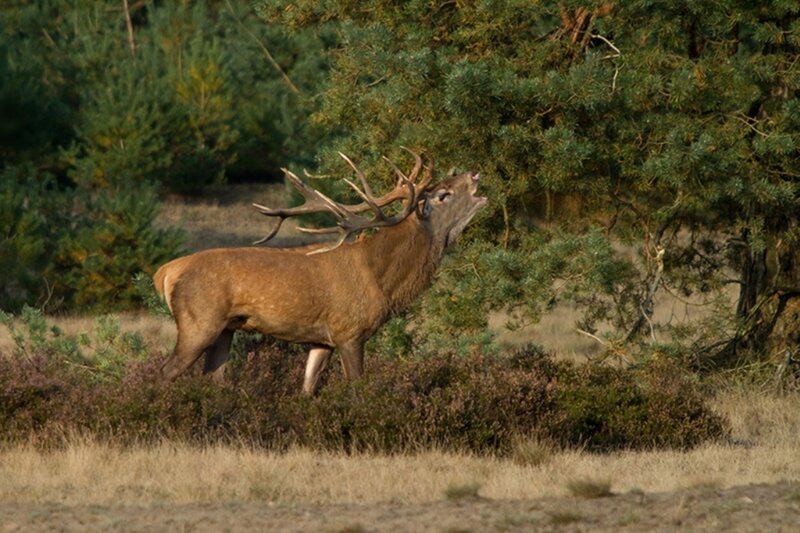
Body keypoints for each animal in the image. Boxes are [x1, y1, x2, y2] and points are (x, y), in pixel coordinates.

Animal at [153, 149, 487, 394]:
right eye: (443, 194)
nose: (474, 173)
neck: (383, 281)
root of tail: (166, 272)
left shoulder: (322, 340)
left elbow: (308, 389)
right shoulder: (349, 331)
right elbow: (357, 390)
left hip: (226, 329)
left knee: (214, 378)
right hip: (199, 320)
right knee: (164, 373)